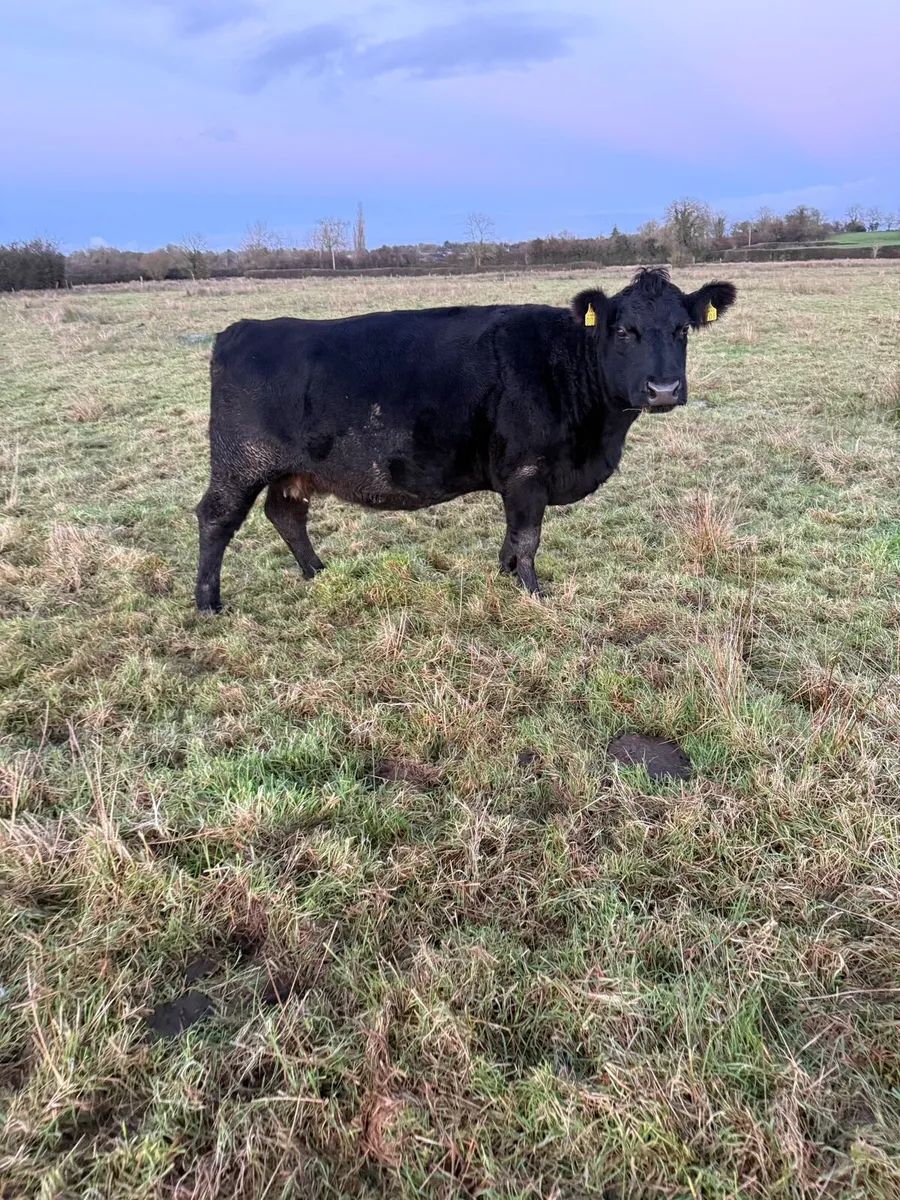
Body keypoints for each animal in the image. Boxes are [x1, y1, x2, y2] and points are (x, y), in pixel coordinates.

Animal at [194, 268, 736, 611]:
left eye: (683, 329)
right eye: (623, 330)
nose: (663, 388)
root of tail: (239, 330)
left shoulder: (520, 479)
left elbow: (512, 536)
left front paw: (505, 575)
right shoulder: (527, 471)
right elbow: (528, 536)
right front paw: (533, 592)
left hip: (291, 470)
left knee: (286, 514)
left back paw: (318, 572)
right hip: (240, 463)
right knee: (216, 519)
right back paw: (208, 602)